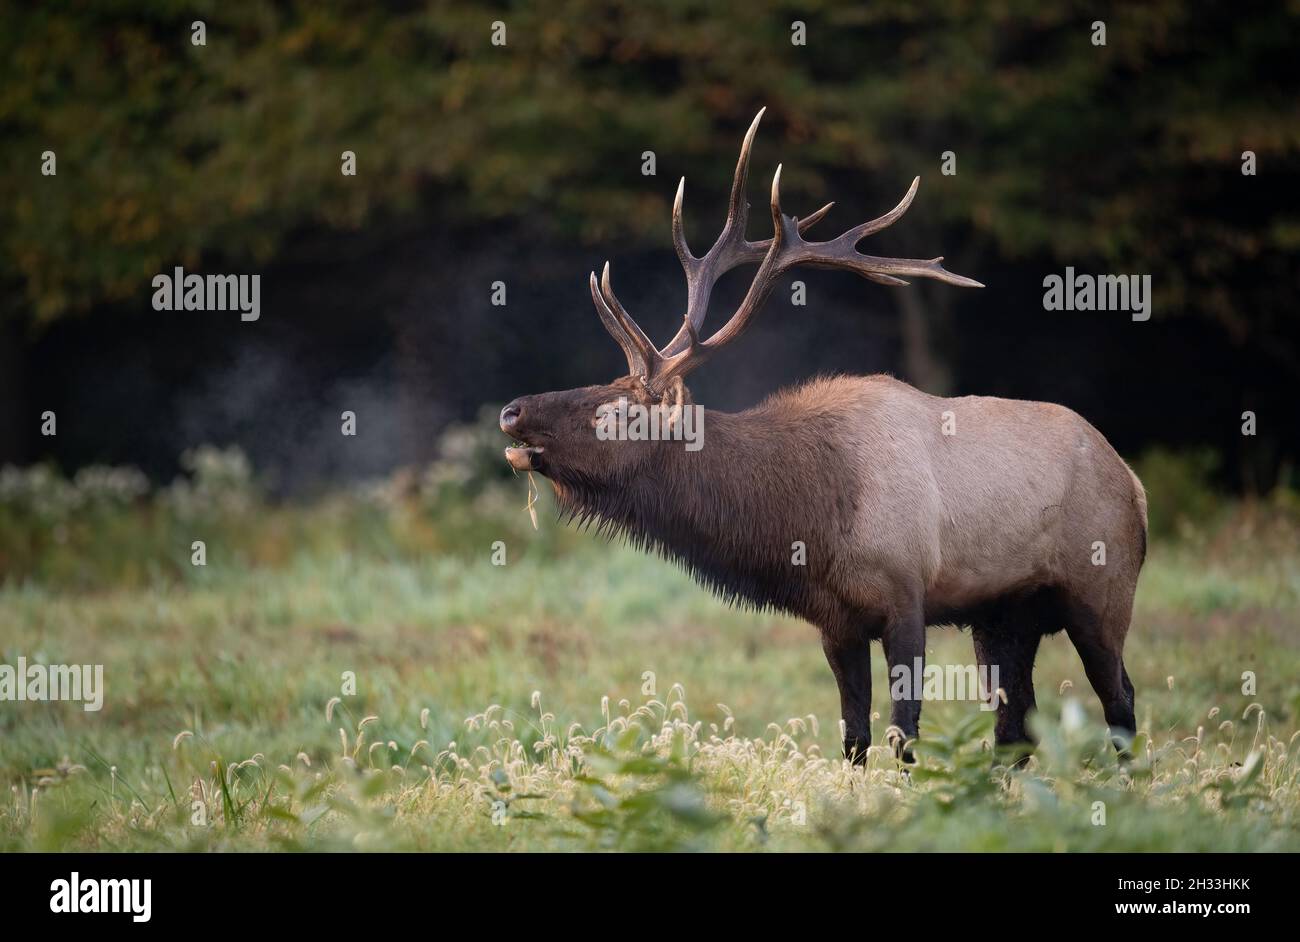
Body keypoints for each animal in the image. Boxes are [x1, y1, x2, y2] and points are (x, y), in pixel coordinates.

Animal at [500, 110, 1147, 764]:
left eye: (613, 410)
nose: (511, 410)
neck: (812, 520)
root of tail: (1133, 481)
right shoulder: (835, 622)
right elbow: (854, 739)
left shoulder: (906, 595)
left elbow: (903, 736)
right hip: (1005, 616)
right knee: (1018, 726)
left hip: (1103, 589)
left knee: (1119, 699)